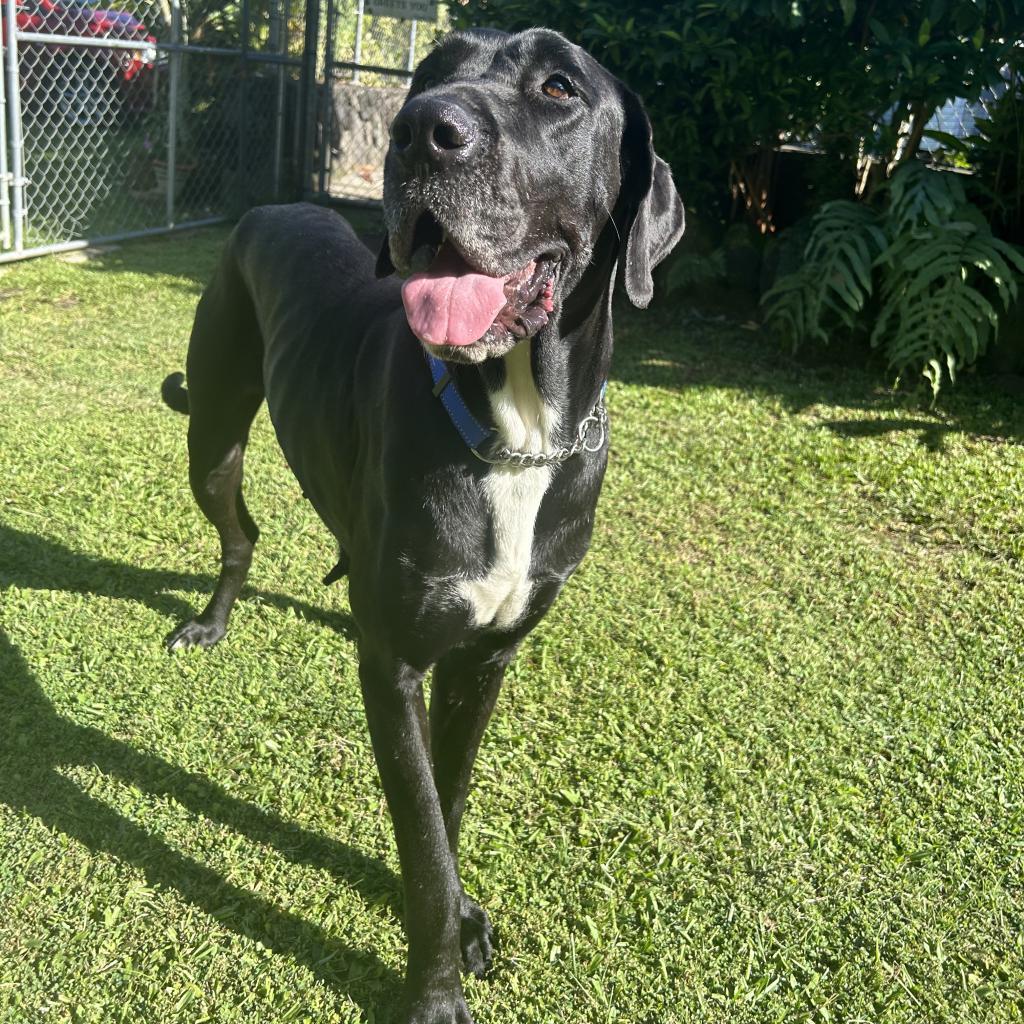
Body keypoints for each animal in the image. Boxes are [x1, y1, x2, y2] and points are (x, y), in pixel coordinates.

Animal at [163, 24, 684, 1024]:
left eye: (559, 87)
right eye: (432, 72)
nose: (418, 133)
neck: (518, 430)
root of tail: (270, 206)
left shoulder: (484, 659)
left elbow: (448, 802)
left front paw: (463, 911)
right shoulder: (398, 670)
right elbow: (425, 841)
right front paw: (436, 987)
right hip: (211, 434)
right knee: (241, 536)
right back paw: (211, 621)